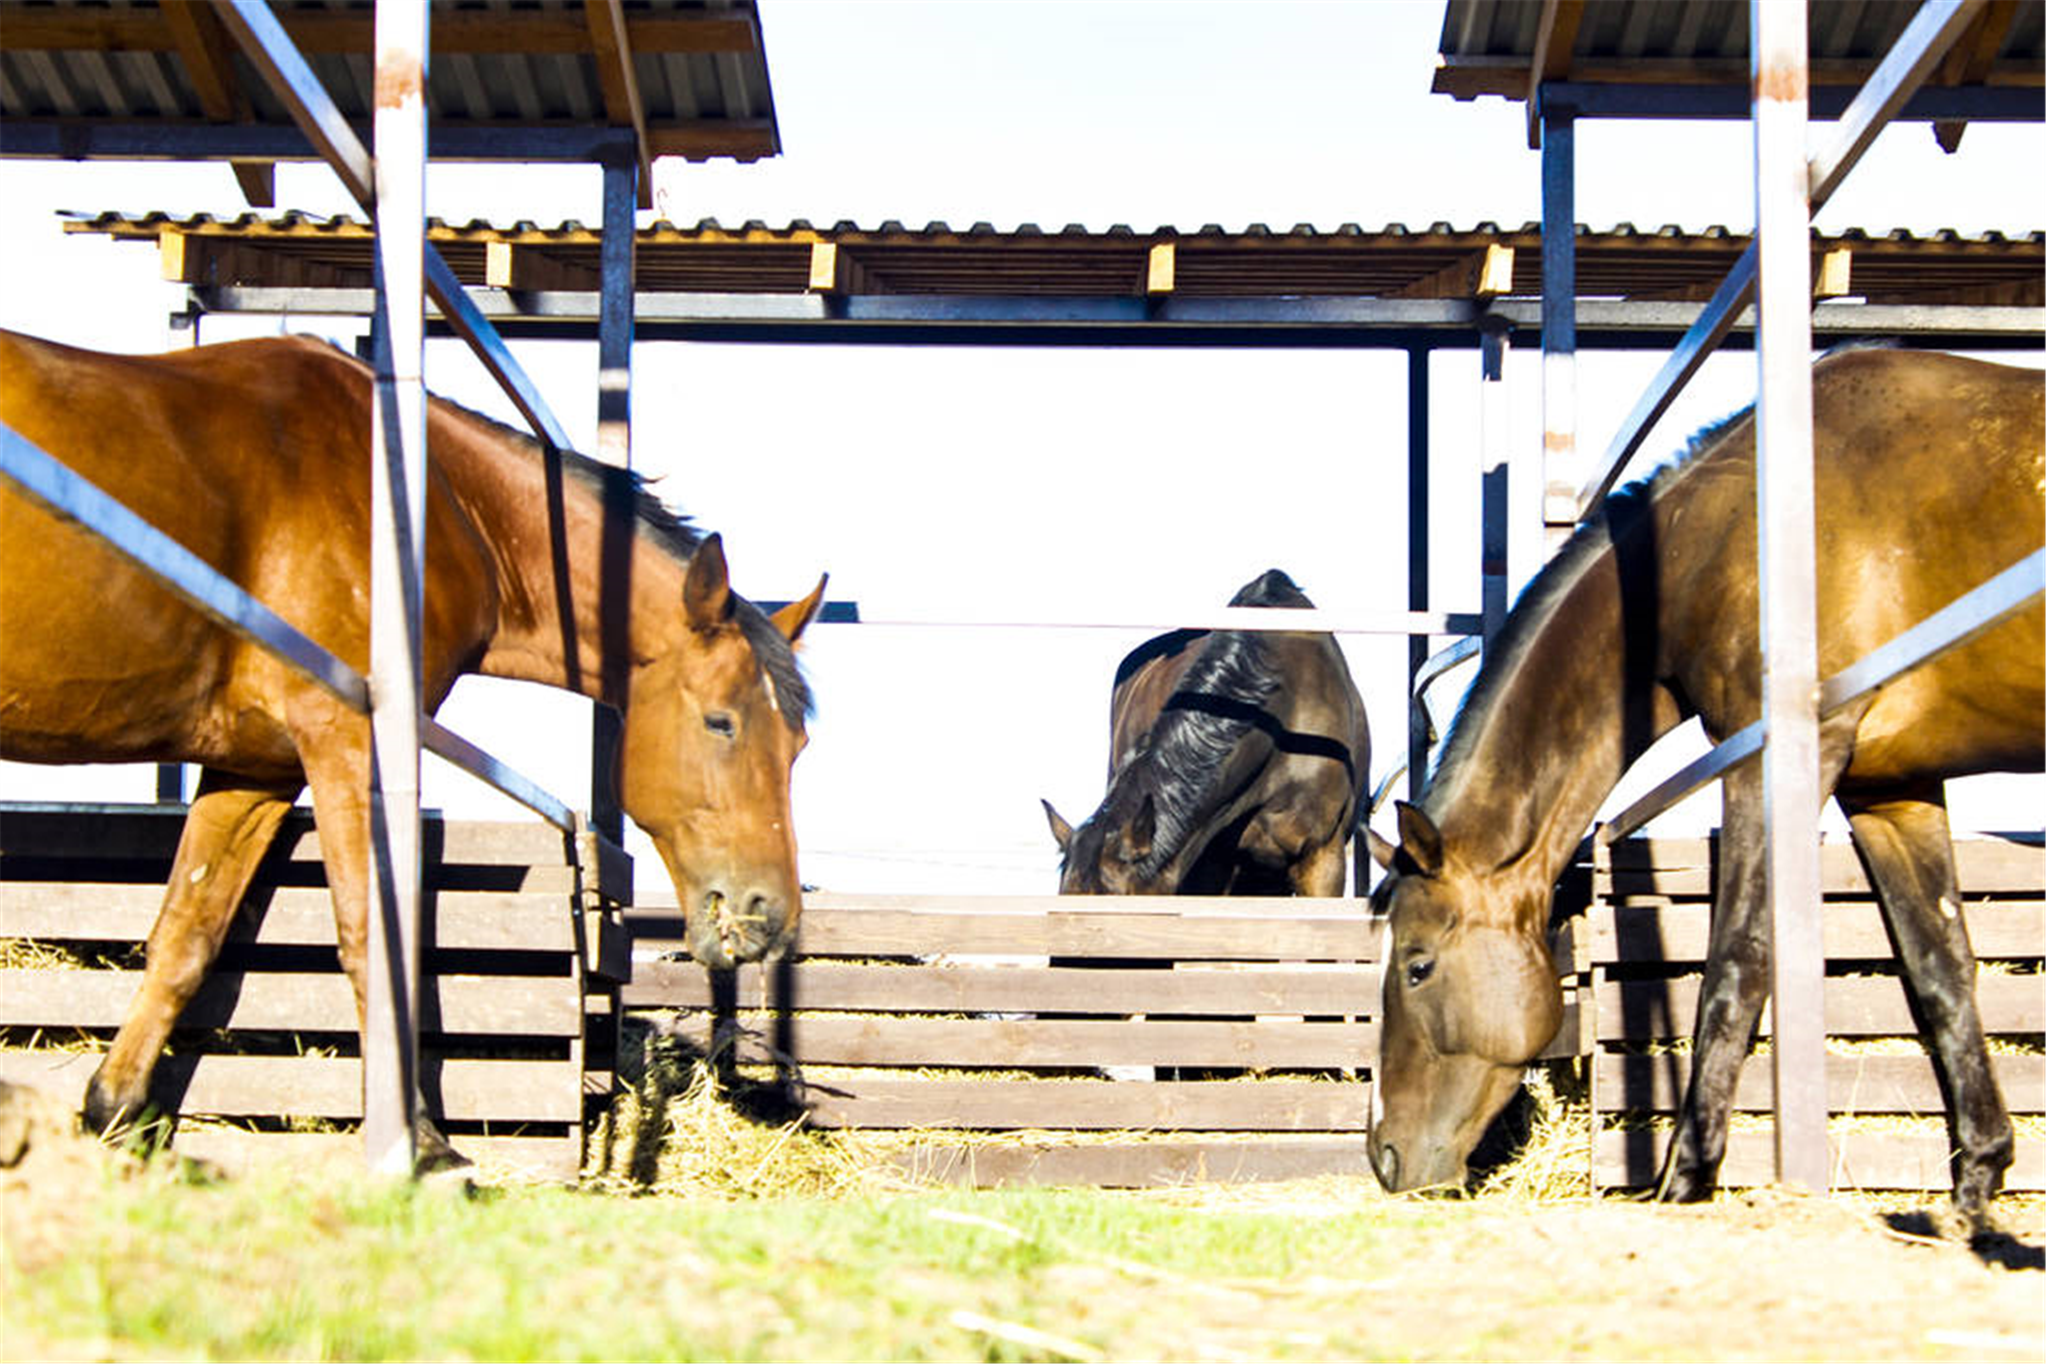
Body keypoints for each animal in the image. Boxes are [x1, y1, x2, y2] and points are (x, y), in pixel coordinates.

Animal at [3, 327, 830, 1153]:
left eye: (797, 748)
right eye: (721, 722)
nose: (771, 916)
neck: (435, 505)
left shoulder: (253, 771)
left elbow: (186, 934)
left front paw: (115, 1111)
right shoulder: (348, 740)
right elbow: (371, 934)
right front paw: (420, 1140)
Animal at [1358, 349, 2046, 1226]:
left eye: (1417, 966)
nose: (1384, 1156)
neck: (1715, 538)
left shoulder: (1770, 757)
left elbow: (1736, 967)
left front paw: (1683, 1179)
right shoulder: (1891, 789)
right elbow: (1941, 972)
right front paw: (1975, 1186)